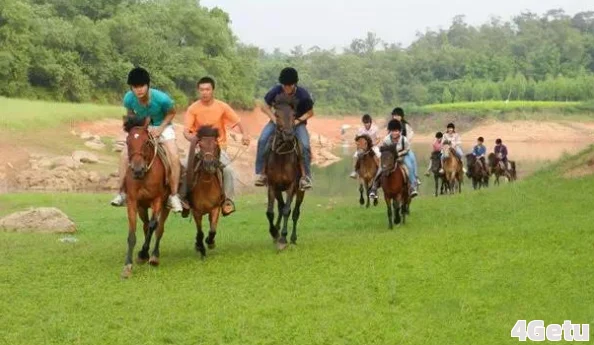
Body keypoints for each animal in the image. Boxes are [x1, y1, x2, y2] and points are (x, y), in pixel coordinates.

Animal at [118, 114, 169, 278]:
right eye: (128, 142)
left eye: (146, 142)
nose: (137, 169)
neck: (144, 177)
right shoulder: (133, 202)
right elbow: (132, 233)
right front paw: (128, 265)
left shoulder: (158, 200)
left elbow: (154, 226)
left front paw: (143, 253)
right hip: (142, 207)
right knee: (146, 225)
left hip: (165, 205)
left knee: (159, 228)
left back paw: (153, 256)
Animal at [184, 125, 223, 256]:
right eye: (200, 145)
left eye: (215, 144)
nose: (209, 164)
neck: (207, 185)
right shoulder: (196, 211)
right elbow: (200, 232)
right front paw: (200, 247)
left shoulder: (216, 208)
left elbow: (212, 230)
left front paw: (210, 242)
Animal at [264, 93, 306, 250]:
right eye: (276, 114)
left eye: (294, 114)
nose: (288, 134)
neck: (282, 156)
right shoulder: (273, 185)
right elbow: (270, 212)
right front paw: (274, 233)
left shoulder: (291, 186)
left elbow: (288, 210)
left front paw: (283, 237)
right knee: (281, 207)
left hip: (300, 191)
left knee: (295, 212)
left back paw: (292, 237)